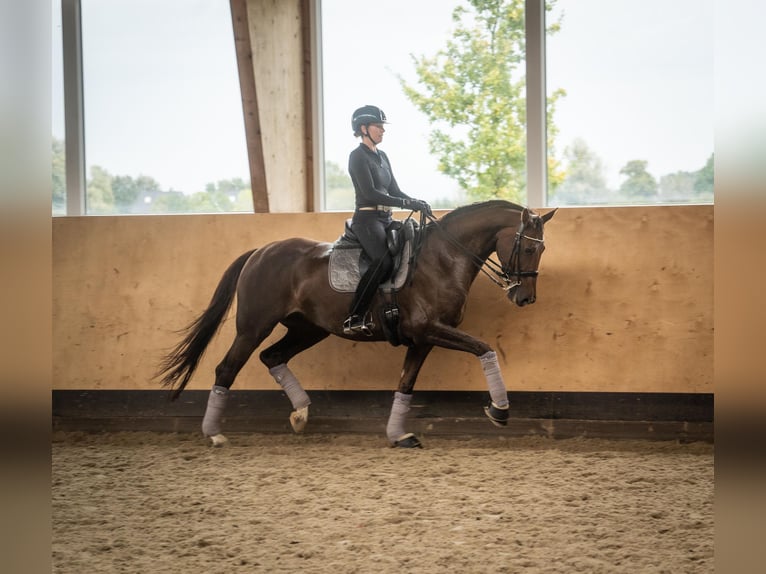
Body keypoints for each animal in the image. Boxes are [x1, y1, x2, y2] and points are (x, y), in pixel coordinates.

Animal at [156, 201, 560, 450]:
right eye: (528, 248)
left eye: (541, 250)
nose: (525, 298)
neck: (443, 259)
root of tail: (260, 251)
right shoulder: (429, 330)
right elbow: (485, 349)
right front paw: (499, 411)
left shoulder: (423, 339)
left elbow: (405, 384)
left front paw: (399, 435)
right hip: (253, 326)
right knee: (227, 368)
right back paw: (215, 435)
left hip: (308, 328)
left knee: (272, 357)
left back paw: (301, 414)